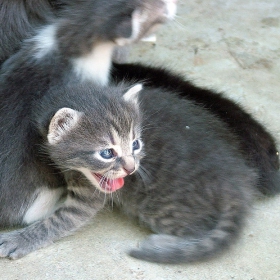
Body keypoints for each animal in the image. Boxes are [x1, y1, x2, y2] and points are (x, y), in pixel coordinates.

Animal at [0, 81, 258, 262]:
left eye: (135, 144)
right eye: (107, 153)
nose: (132, 168)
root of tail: (236, 181)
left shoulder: (88, 196)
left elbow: (59, 220)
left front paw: (21, 239)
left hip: (160, 206)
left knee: (197, 228)